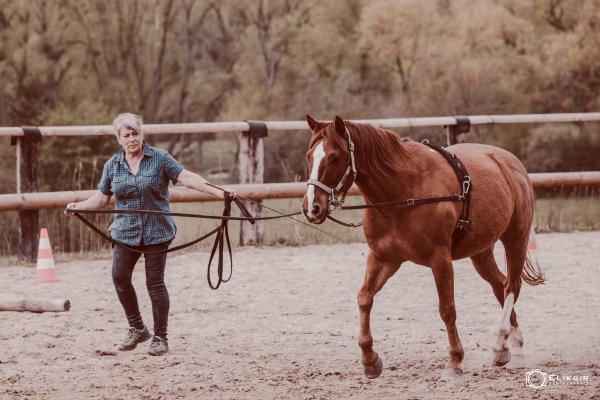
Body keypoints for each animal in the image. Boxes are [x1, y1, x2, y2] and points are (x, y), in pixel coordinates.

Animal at [301, 115, 544, 380]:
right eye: (309, 156)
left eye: (335, 157)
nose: (311, 208)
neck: (403, 193)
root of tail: (511, 163)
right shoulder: (383, 258)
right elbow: (364, 298)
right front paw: (370, 360)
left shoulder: (440, 259)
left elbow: (447, 309)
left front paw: (454, 361)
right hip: (481, 251)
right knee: (500, 286)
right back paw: (512, 347)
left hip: (515, 238)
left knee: (512, 287)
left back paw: (500, 344)